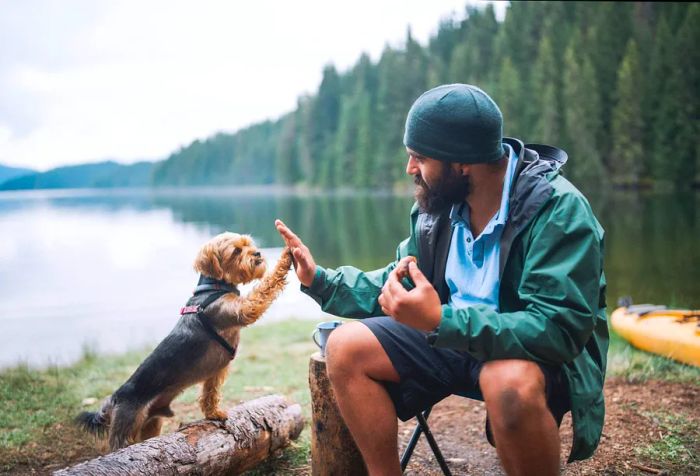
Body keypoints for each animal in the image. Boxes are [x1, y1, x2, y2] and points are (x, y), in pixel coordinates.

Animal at [76, 233, 292, 450]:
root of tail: (114, 398)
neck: (214, 288)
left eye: (249, 244)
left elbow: (210, 393)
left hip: (151, 423)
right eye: (236, 251)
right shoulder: (243, 309)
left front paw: (214, 413)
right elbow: (264, 289)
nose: (257, 253)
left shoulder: (215, 372)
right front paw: (286, 256)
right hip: (126, 425)